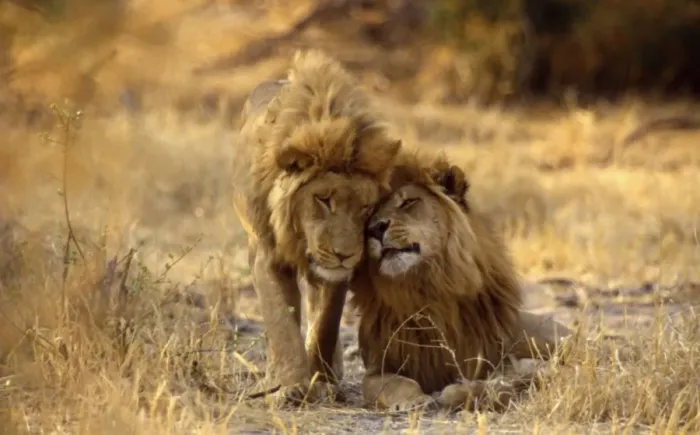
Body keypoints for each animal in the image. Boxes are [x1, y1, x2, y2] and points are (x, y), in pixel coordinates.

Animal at [231, 50, 402, 405]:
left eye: (366, 207)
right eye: (323, 199)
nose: (345, 253)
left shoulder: (337, 274)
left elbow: (326, 323)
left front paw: (323, 381)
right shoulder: (266, 254)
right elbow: (281, 320)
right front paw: (293, 385)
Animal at [349, 149, 571, 412]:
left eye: (408, 202)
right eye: (370, 215)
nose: (375, 228)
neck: (422, 284)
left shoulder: (490, 361)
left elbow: (492, 384)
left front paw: (458, 393)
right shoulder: (377, 367)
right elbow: (393, 384)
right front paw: (414, 400)